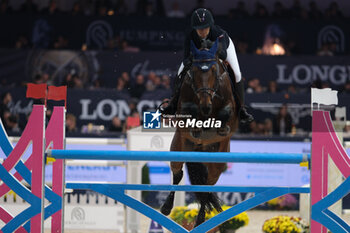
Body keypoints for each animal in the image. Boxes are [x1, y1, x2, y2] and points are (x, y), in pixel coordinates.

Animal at [161, 39, 238, 227]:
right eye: (194, 71)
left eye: (214, 70)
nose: (205, 105)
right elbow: (189, 113)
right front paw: (197, 125)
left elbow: (225, 115)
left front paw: (219, 126)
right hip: (178, 149)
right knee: (178, 174)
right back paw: (166, 207)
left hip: (217, 165)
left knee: (206, 187)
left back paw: (200, 219)